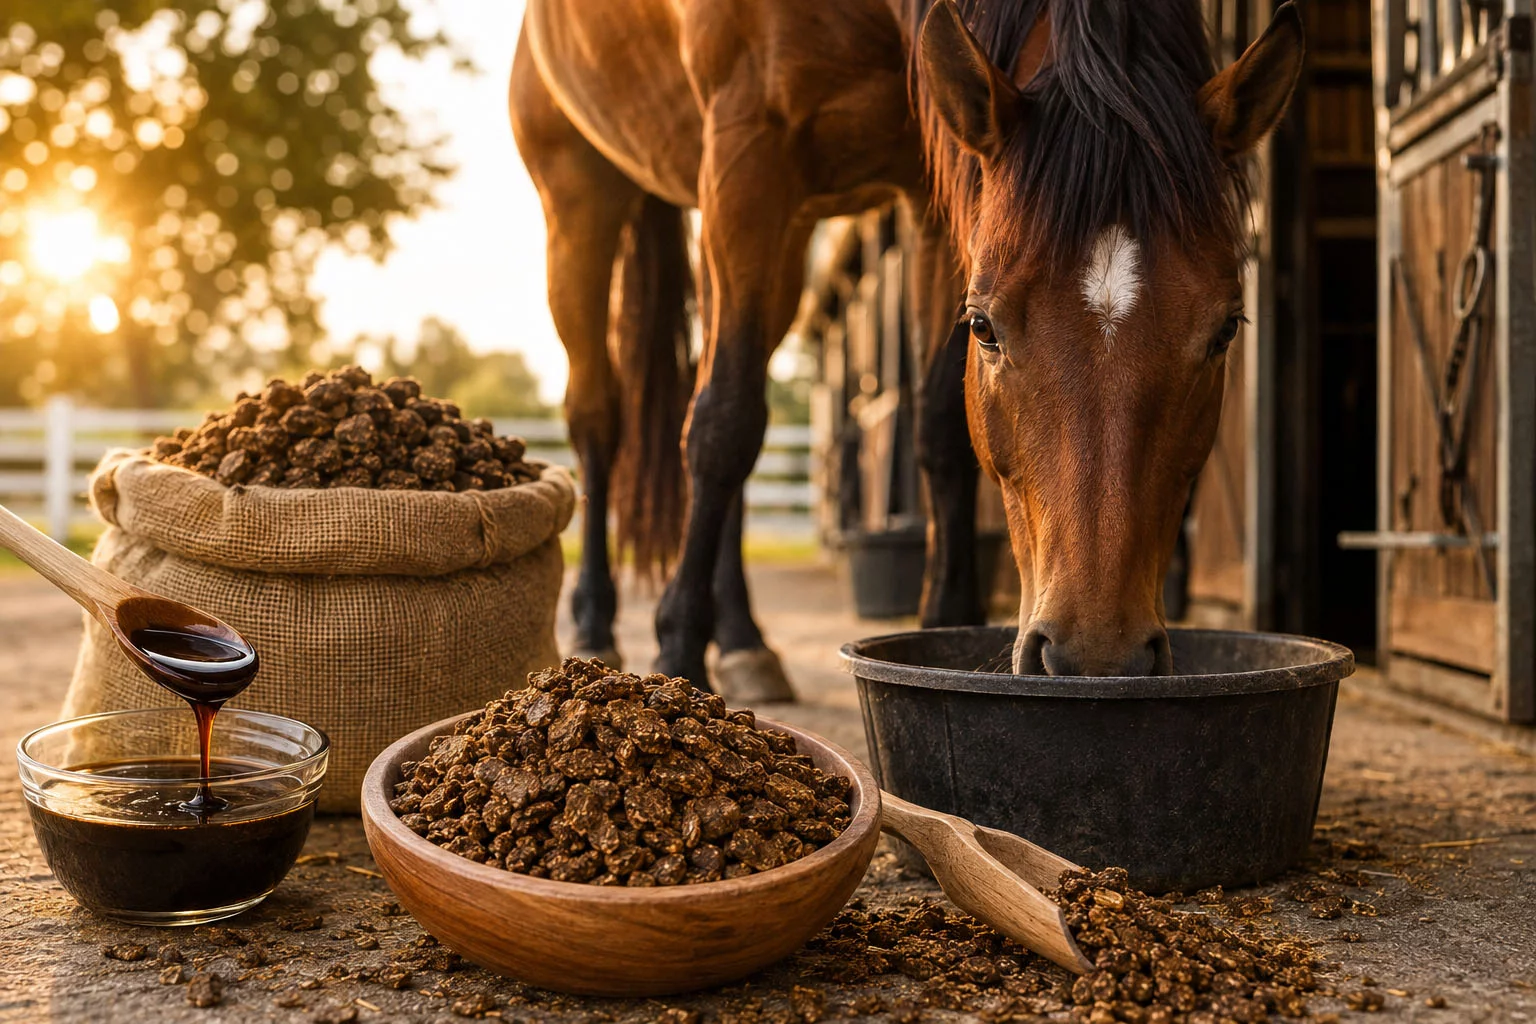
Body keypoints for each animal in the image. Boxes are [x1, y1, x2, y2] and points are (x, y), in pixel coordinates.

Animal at [511, 0, 1303, 691]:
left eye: (1225, 328)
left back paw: (742, 641)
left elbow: (939, 426)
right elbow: (721, 426)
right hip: (584, 199)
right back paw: (598, 626)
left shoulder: (931, 190)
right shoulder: (746, 157)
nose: (1098, 656)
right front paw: (675, 653)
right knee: (603, 418)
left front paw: (946, 618)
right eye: (985, 326)